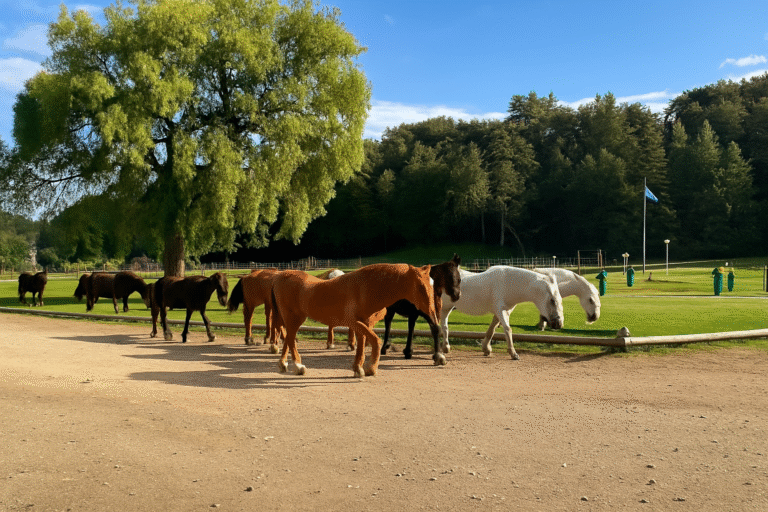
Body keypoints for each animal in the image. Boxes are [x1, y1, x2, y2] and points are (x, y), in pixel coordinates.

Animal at [270, 263, 436, 377]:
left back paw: (283, 364)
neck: (365, 288)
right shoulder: (354, 323)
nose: (433, 314)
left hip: (294, 319)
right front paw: (370, 368)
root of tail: (279, 277)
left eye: (432, 284)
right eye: (421, 286)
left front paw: (358, 368)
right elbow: (376, 341)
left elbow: (362, 345)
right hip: (293, 317)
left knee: (288, 338)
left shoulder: (365, 324)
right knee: (290, 338)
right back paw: (298, 366)